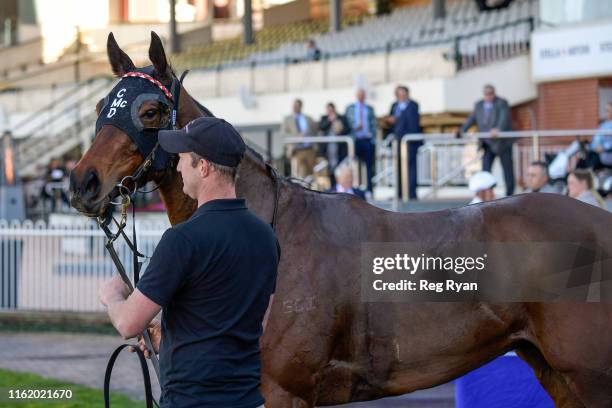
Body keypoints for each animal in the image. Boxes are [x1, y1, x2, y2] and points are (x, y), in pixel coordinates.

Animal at [69, 32, 612, 408]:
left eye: (151, 110)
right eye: (100, 105)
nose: (82, 183)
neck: (276, 230)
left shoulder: (284, 391)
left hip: (589, 376)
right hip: (555, 372)